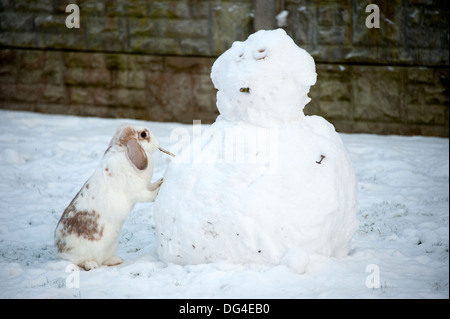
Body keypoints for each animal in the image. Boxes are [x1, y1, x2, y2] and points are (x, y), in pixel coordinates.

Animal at [54, 124, 163, 270]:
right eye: (144, 134)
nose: (158, 142)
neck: (123, 152)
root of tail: (61, 253)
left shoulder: (146, 185)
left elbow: (152, 185)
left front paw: (160, 181)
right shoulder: (138, 191)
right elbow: (149, 195)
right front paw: (159, 190)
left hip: (111, 246)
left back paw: (115, 260)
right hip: (82, 253)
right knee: (79, 262)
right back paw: (91, 264)